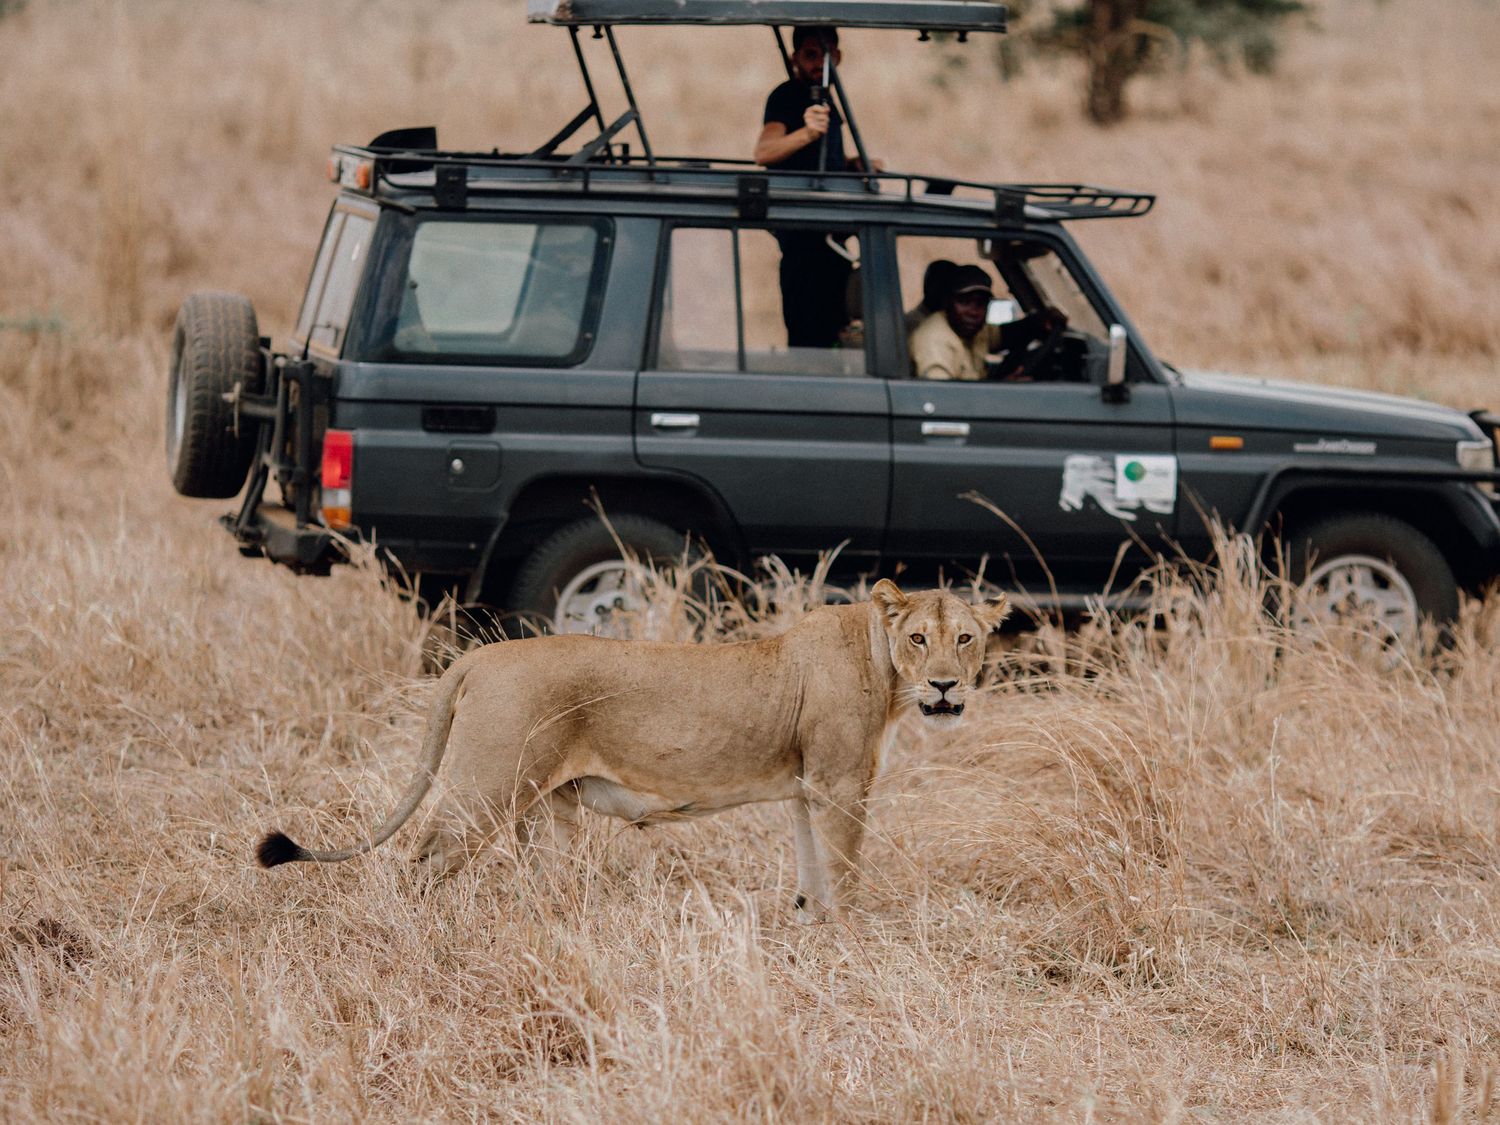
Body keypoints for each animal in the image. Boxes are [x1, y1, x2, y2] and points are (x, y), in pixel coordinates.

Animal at [256, 579, 1009, 920]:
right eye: (919, 638)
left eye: (965, 638)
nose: (945, 683)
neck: (883, 667)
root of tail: (478, 656)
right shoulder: (841, 785)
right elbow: (845, 870)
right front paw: (852, 935)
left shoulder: (807, 787)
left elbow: (812, 869)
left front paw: (811, 927)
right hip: (486, 787)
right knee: (423, 858)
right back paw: (417, 931)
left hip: (547, 806)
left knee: (537, 876)